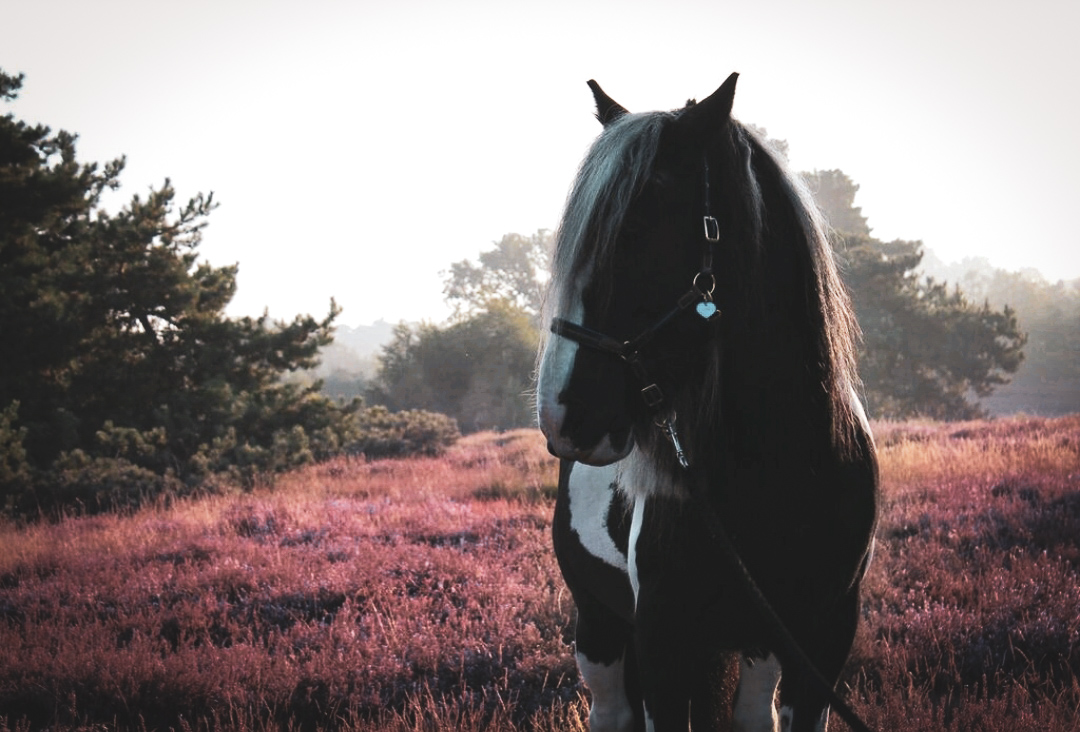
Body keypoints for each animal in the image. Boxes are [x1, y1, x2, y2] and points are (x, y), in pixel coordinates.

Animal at [535, 76, 881, 732]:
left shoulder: (820, 640)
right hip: (600, 626)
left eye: (635, 230)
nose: (562, 417)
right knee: (611, 709)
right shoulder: (662, 639)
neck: (777, 469)